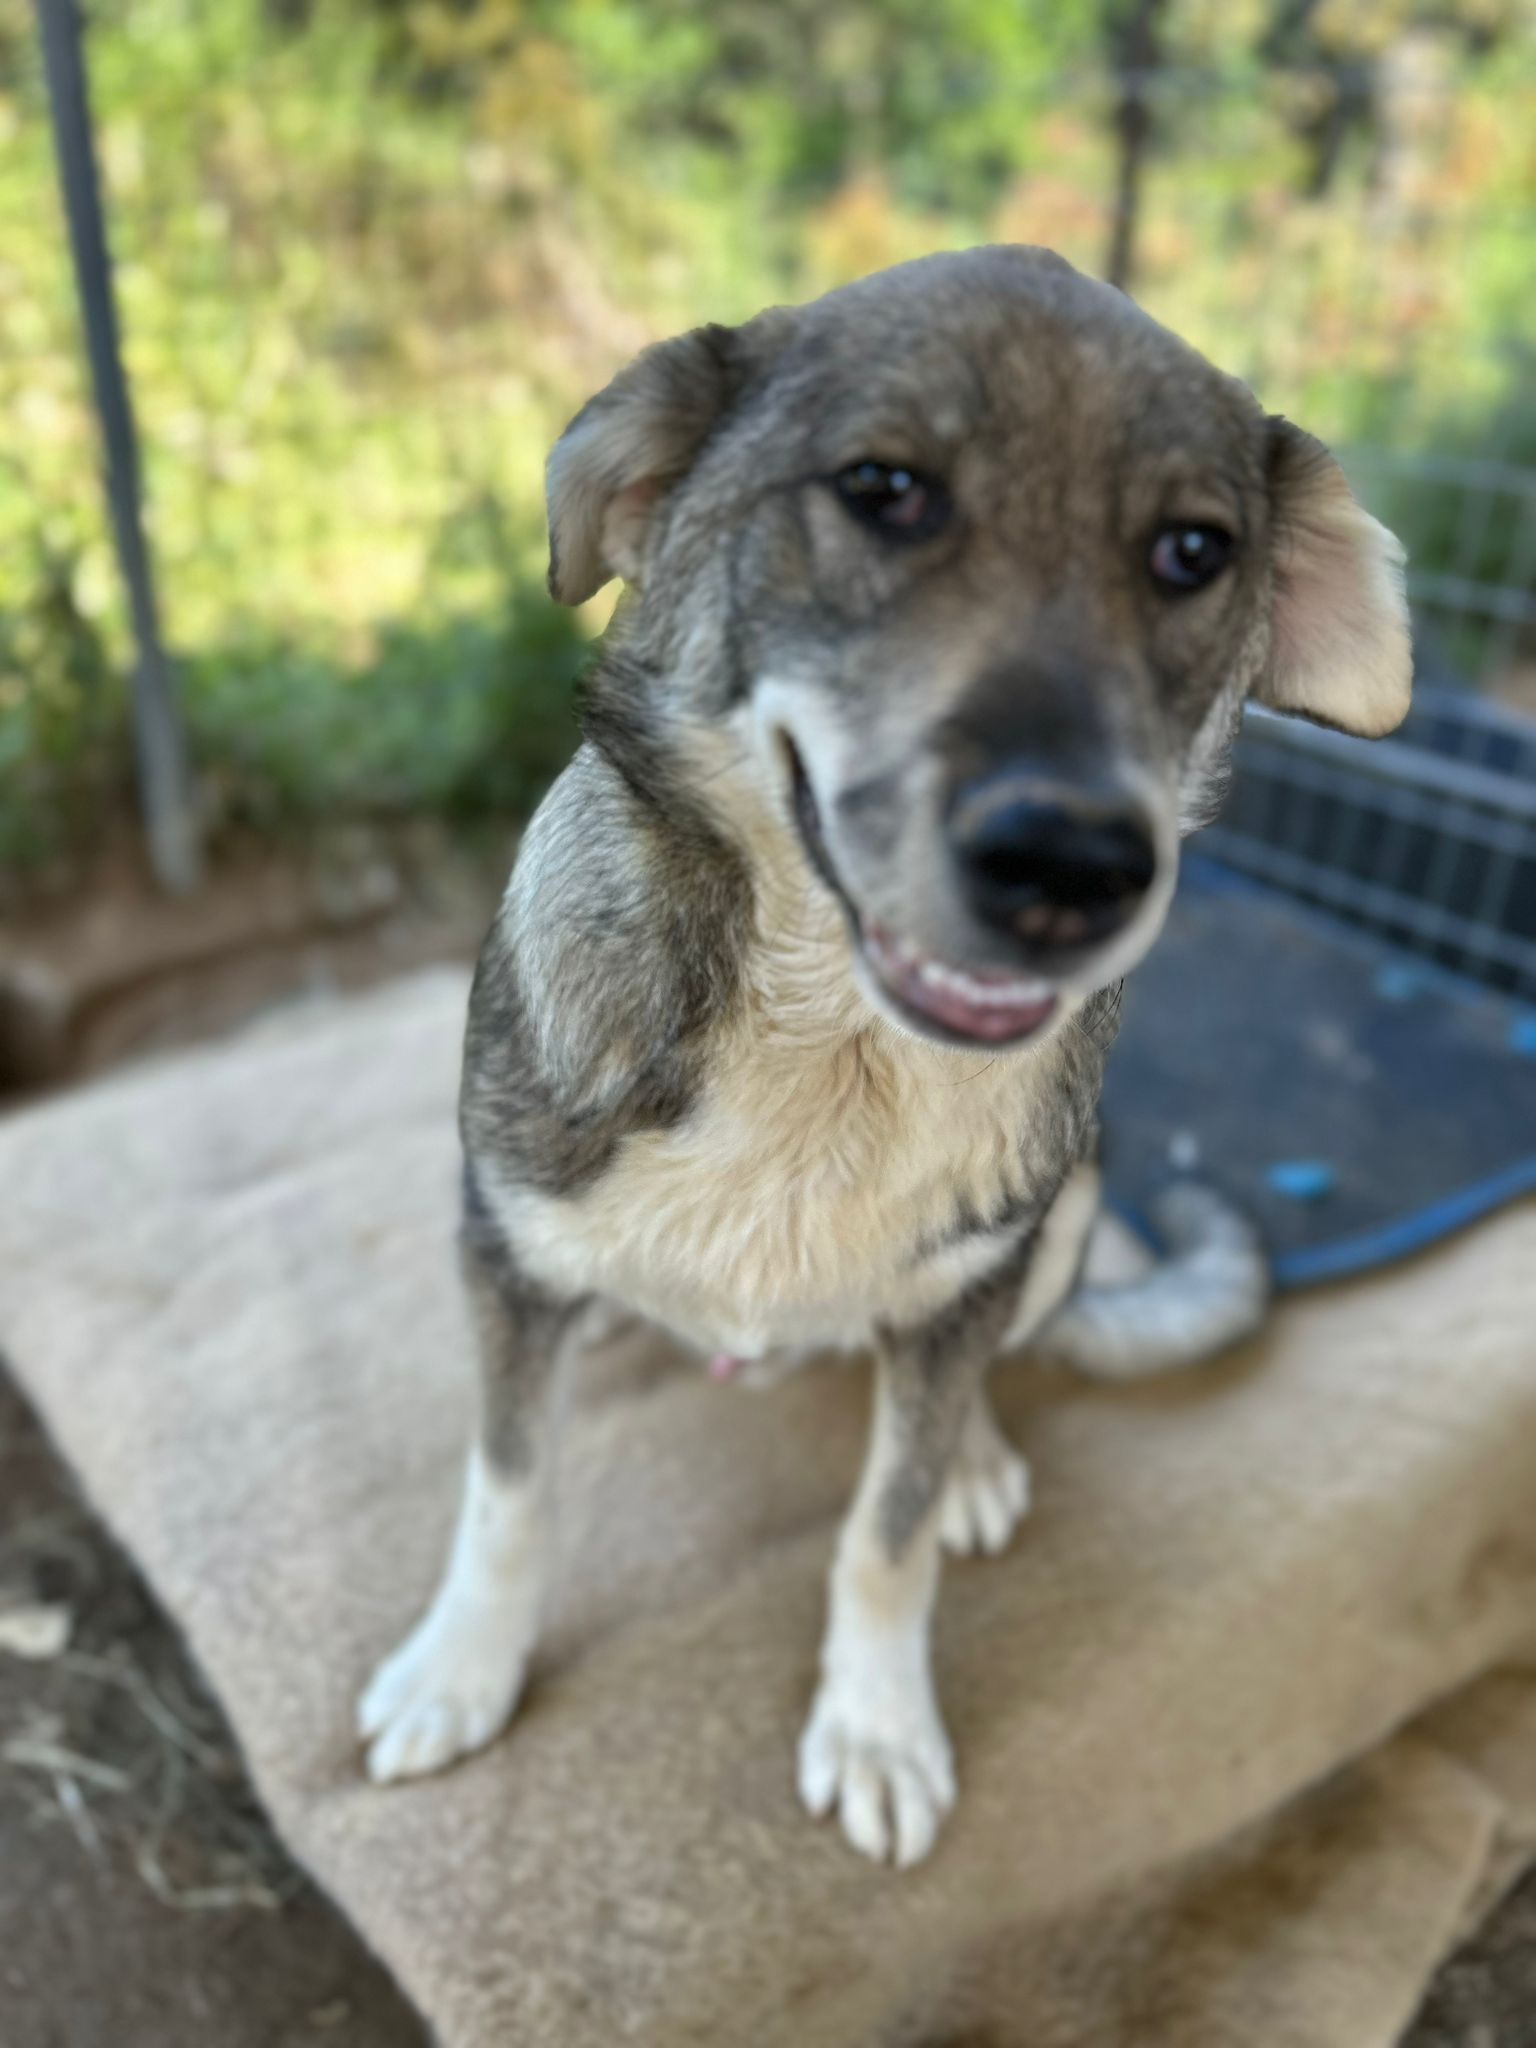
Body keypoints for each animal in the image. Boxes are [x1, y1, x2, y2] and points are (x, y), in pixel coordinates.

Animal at [357, 246, 1410, 1868]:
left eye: (1192, 550)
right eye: (884, 489)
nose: (1074, 869)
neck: (828, 1047)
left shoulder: (971, 1282)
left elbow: (885, 1532)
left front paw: (875, 1723)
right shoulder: (508, 1254)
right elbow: (507, 1495)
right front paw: (462, 1670)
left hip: (1064, 1213)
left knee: (972, 1368)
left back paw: (971, 1452)